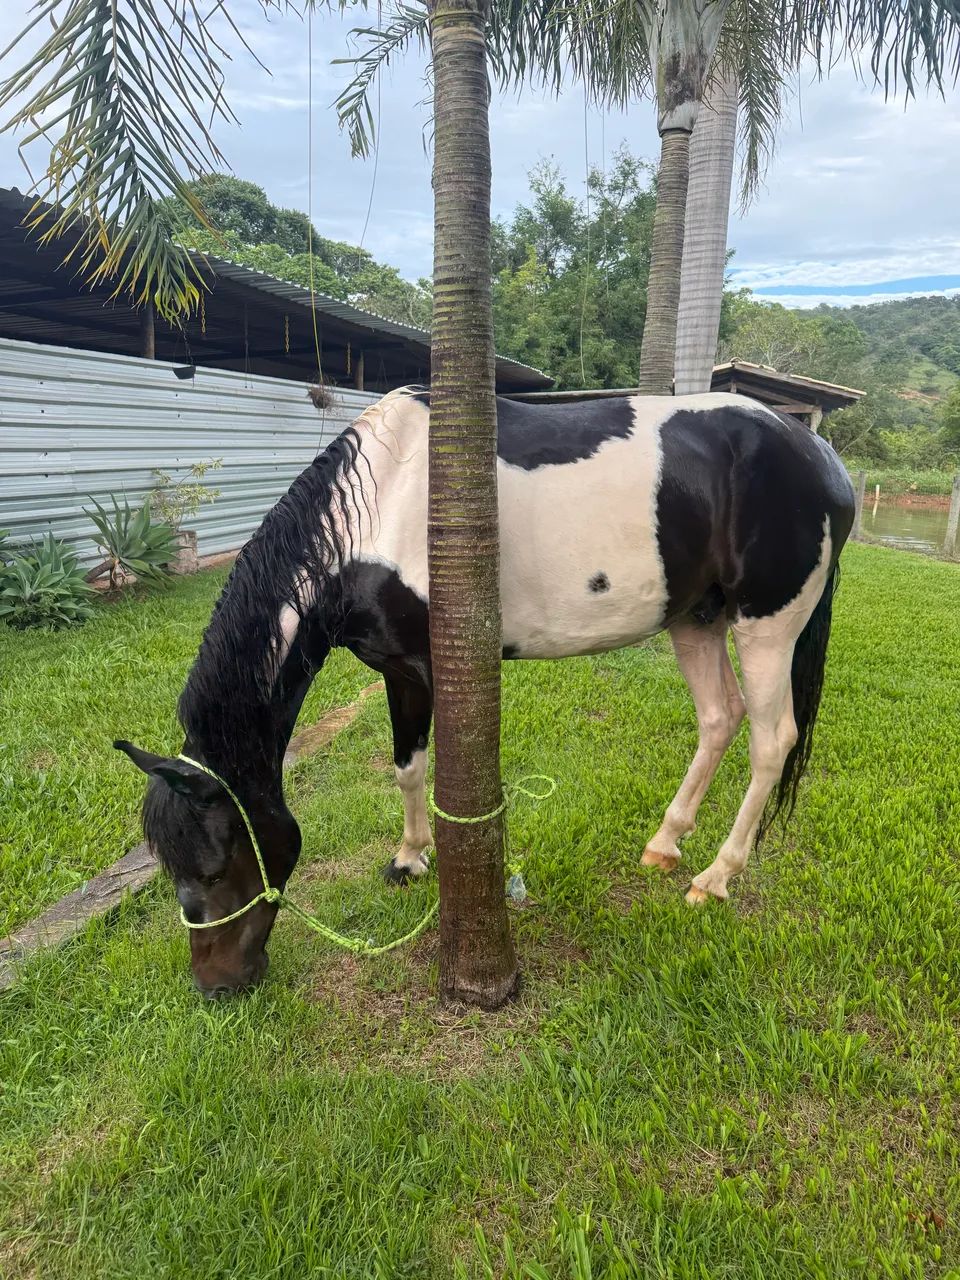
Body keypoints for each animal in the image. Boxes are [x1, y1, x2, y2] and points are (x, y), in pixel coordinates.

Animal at [116, 388, 855, 997]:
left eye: (215, 870)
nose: (216, 986)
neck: (383, 503)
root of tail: (821, 456)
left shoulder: (430, 668)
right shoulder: (397, 669)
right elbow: (406, 767)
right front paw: (407, 860)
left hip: (767, 627)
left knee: (772, 742)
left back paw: (715, 878)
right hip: (696, 621)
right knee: (719, 719)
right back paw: (665, 844)